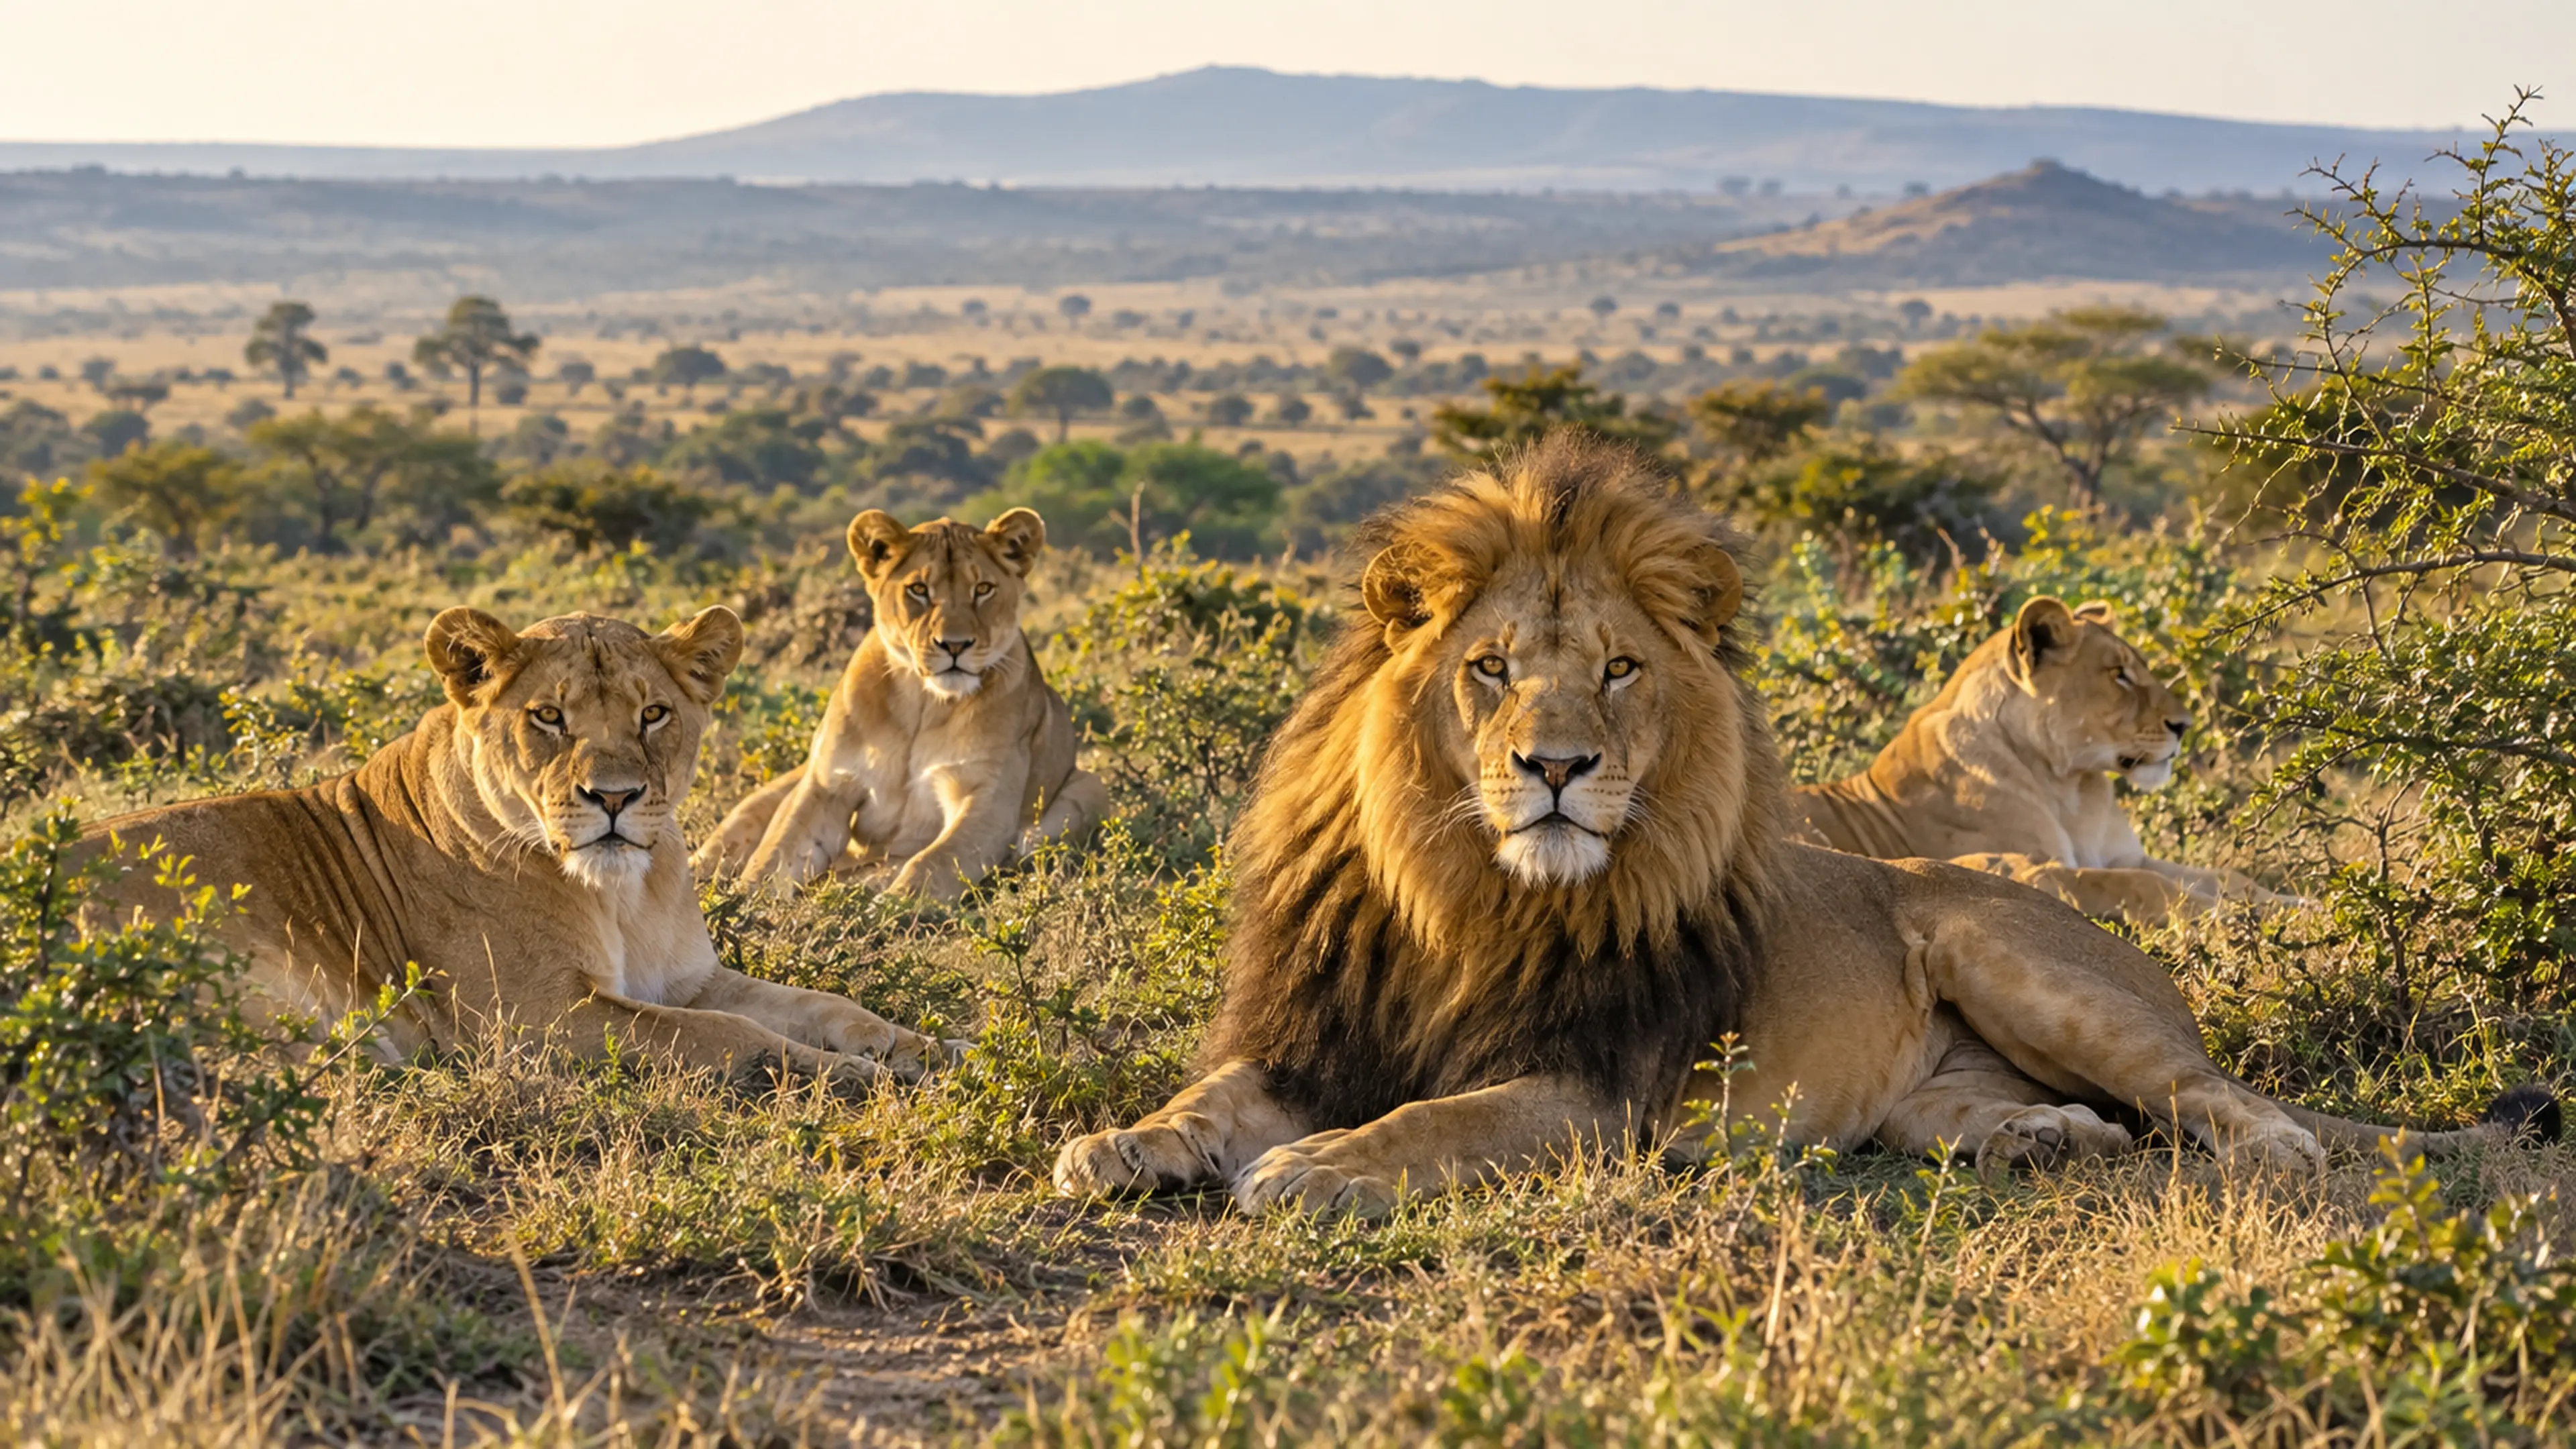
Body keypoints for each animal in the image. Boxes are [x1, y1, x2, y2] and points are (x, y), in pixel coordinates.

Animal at [80, 606, 951, 1085]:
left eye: (653, 714)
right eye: (549, 718)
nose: (613, 798)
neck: (626, 893)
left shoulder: (687, 980)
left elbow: (820, 1004)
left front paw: (921, 1049)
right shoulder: (535, 1018)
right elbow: (728, 1037)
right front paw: (848, 1079)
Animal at [694, 508, 1108, 901]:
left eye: (984, 589)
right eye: (919, 589)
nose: (955, 645)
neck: (923, 703)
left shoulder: (985, 798)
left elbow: (933, 861)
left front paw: (895, 906)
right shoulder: (827, 785)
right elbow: (776, 851)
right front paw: (742, 903)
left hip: (1092, 787)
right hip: (770, 794)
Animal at [1790, 598, 2293, 920]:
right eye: (2119, 675)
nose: (2184, 725)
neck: (2070, 789)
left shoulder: (2126, 855)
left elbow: (2227, 875)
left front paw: (2293, 906)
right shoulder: (2047, 866)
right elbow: (2137, 883)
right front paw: (2225, 917)